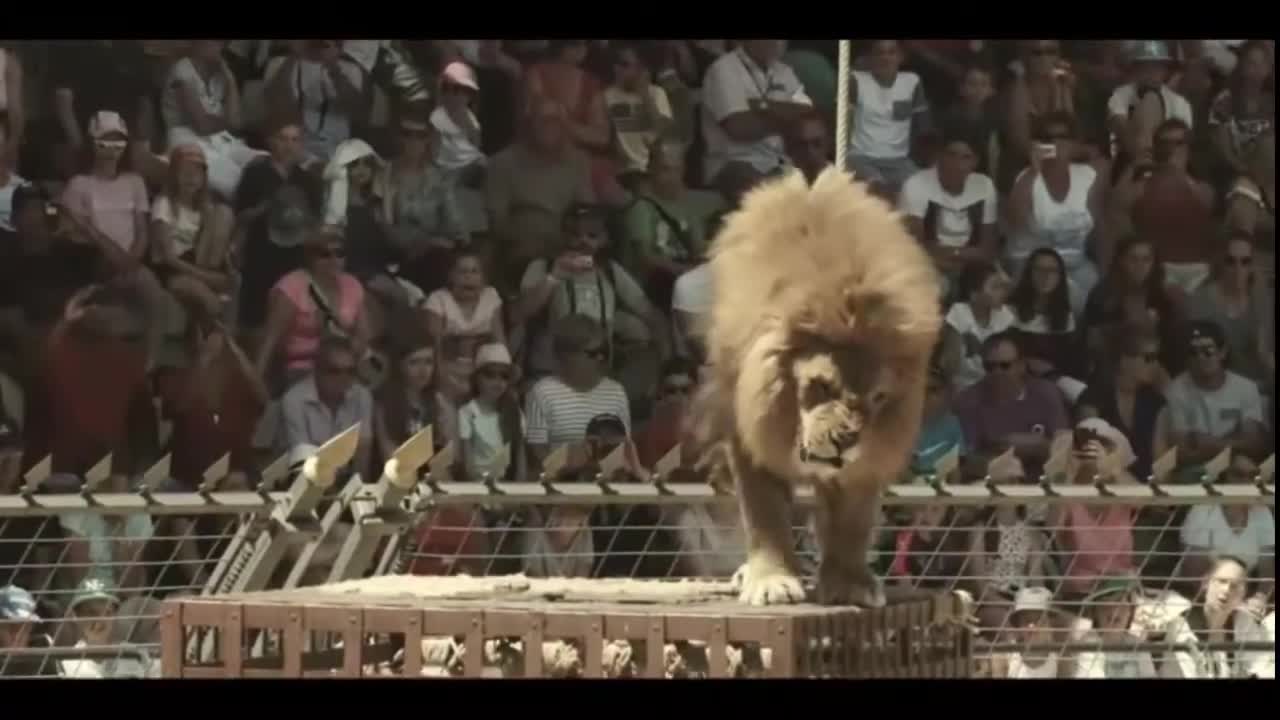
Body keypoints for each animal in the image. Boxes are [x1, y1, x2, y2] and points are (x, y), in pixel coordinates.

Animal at [696, 166, 947, 604]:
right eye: (821, 386)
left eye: (878, 398)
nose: (846, 441)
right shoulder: (748, 432)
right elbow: (764, 512)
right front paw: (772, 581)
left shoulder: (869, 459)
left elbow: (853, 521)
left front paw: (849, 584)